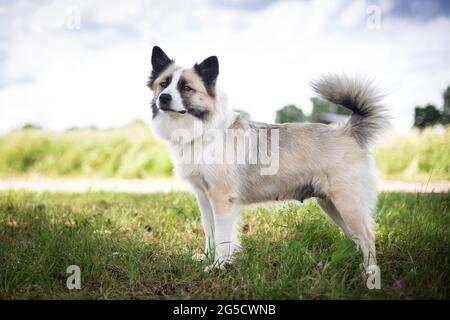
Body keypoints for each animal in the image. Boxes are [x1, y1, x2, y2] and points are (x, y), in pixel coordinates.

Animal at [149, 46, 390, 272]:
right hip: (331, 204)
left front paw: (218, 266)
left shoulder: (222, 198)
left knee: (367, 236)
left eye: (186, 87)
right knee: (355, 239)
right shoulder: (204, 198)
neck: (201, 132)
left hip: (347, 203)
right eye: (163, 84)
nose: (163, 98)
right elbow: (210, 233)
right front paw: (207, 258)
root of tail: (347, 130)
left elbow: (222, 239)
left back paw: (370, 275)